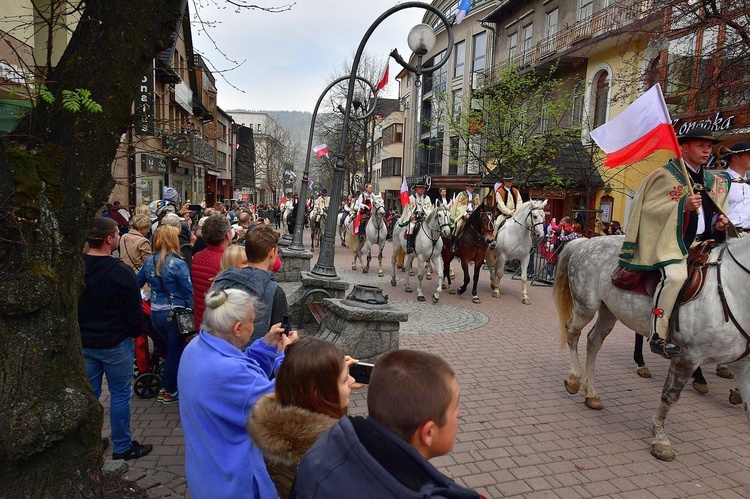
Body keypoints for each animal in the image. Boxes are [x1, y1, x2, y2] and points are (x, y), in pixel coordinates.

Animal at [552, 236, 750, 462]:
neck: (730, 288)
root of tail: (585, 241)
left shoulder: (744, 365)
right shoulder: (688, 356)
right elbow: (669, 396)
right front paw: (660, 439)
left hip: (609, 310)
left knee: (593, 341)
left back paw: (592, 394)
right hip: (586, 306)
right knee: (572, 332)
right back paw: (574, 379)